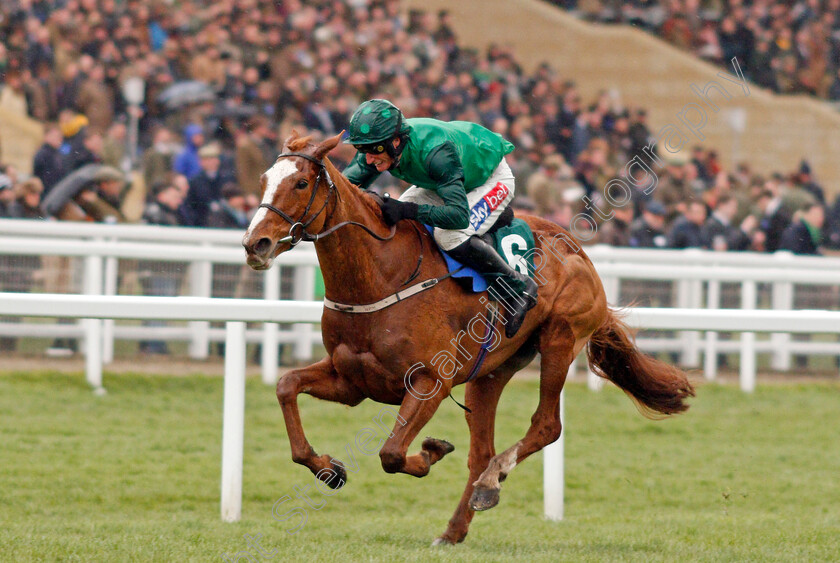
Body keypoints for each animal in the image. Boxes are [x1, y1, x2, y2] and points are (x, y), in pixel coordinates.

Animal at [240, 133, 692, 548]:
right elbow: (286, 387)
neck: (381, 273)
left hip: (561, 339)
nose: (254, 244)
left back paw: (492, 481)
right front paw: (329, 469)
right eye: (262, 179)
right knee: (481, 453)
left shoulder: (430, 383)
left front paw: (431, 451)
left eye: (301, 183)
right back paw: (456, 527)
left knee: (545, 426)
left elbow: (391, 453)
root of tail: (577, 248)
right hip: (489, 373)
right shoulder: (351, 379)